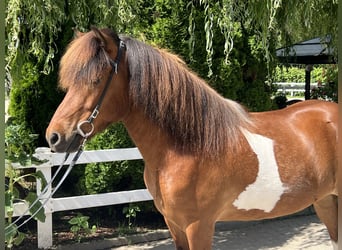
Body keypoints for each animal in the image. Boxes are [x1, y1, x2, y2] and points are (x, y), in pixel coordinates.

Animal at [44, 27, 336, 250]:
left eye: (96, 79)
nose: (54, 137)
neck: (185, 149)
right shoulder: (175, 225)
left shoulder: (199, 226)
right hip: (325, 201)